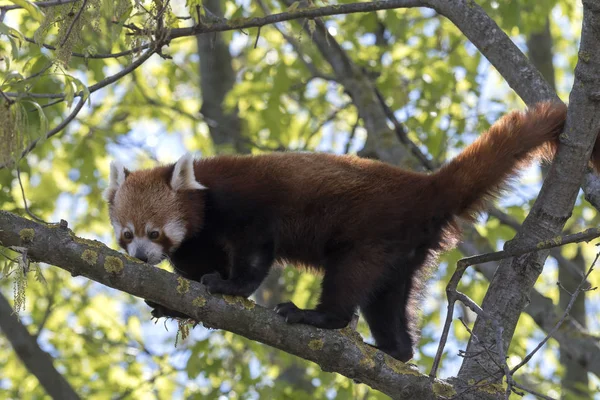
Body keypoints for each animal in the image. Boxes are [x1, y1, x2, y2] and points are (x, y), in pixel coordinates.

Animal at [105, 101, 596, 362]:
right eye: (128, 234)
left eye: (154, 231)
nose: (141, 256)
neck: (205, 200)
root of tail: (423, 186)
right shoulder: (200, 236)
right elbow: (195, 267)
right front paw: (174, 302)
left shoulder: (246, 205)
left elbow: (253, 255)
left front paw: (230, 287)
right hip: (402, 251)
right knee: (387, 299)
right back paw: (396, 350)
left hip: (369, 233)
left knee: (349, 281)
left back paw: (318, 317)